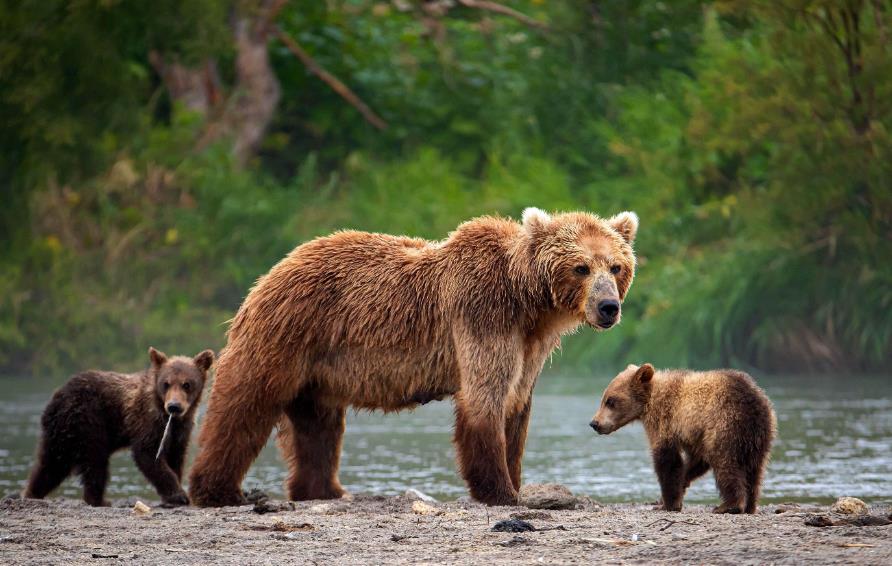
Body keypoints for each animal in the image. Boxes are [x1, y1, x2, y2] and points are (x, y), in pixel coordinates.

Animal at [192, 210, 636, 510]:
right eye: (581, 267)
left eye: (616, 266)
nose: (608, 307)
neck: (528, 302)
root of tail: (273, 270)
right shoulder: (483, 315)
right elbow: (485, 400)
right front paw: (502, 492)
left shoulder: (530, 346)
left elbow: (516, 405)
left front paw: (516, 479)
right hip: (288, 331)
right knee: (245, 402)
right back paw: (218, 489)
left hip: (319, 367)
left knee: (318, 427)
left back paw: (325, 490)